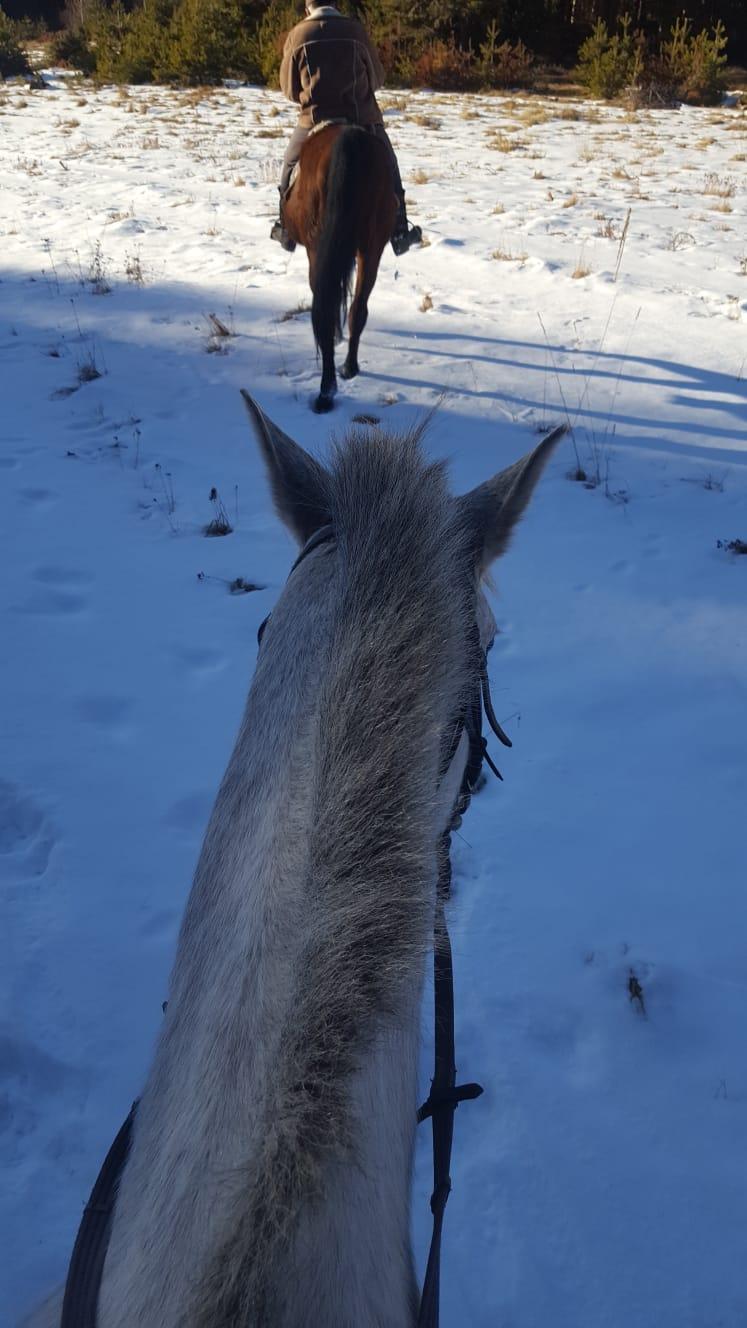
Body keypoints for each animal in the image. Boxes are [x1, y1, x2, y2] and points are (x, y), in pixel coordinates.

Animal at [283, 123, 397, 414]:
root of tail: (349, 139)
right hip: (371, 247)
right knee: (358, 307)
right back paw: (348, 368)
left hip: (318, 247)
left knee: (324, 308)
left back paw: (326, 390)